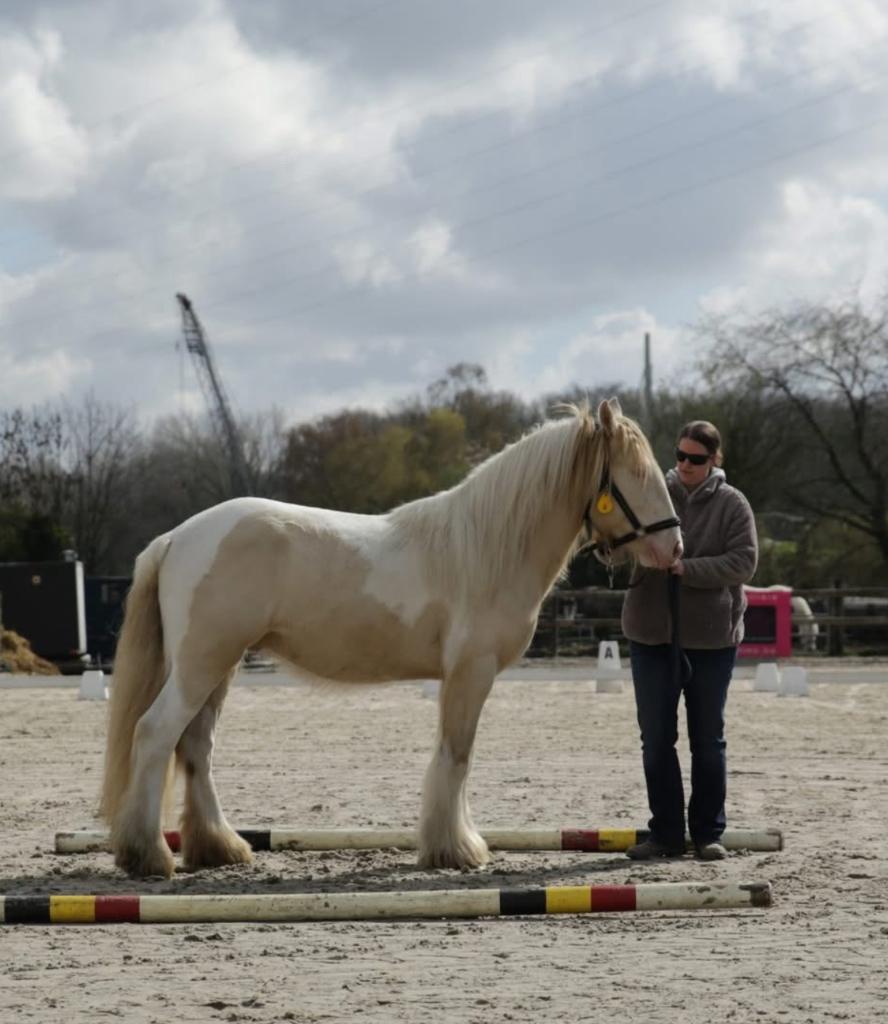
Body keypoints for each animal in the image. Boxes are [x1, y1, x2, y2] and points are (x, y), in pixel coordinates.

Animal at [101, 398, 682, 879]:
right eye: (636, 473)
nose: (674, 549)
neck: (483, 549)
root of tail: (177, 537)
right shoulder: (471, 672)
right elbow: (457, 755)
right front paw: (455, 849)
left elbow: (456, 755)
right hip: (201, 665)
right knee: (156, 734)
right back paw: (149, 856)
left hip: (218, 667)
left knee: (195, 747)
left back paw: (219, 848)